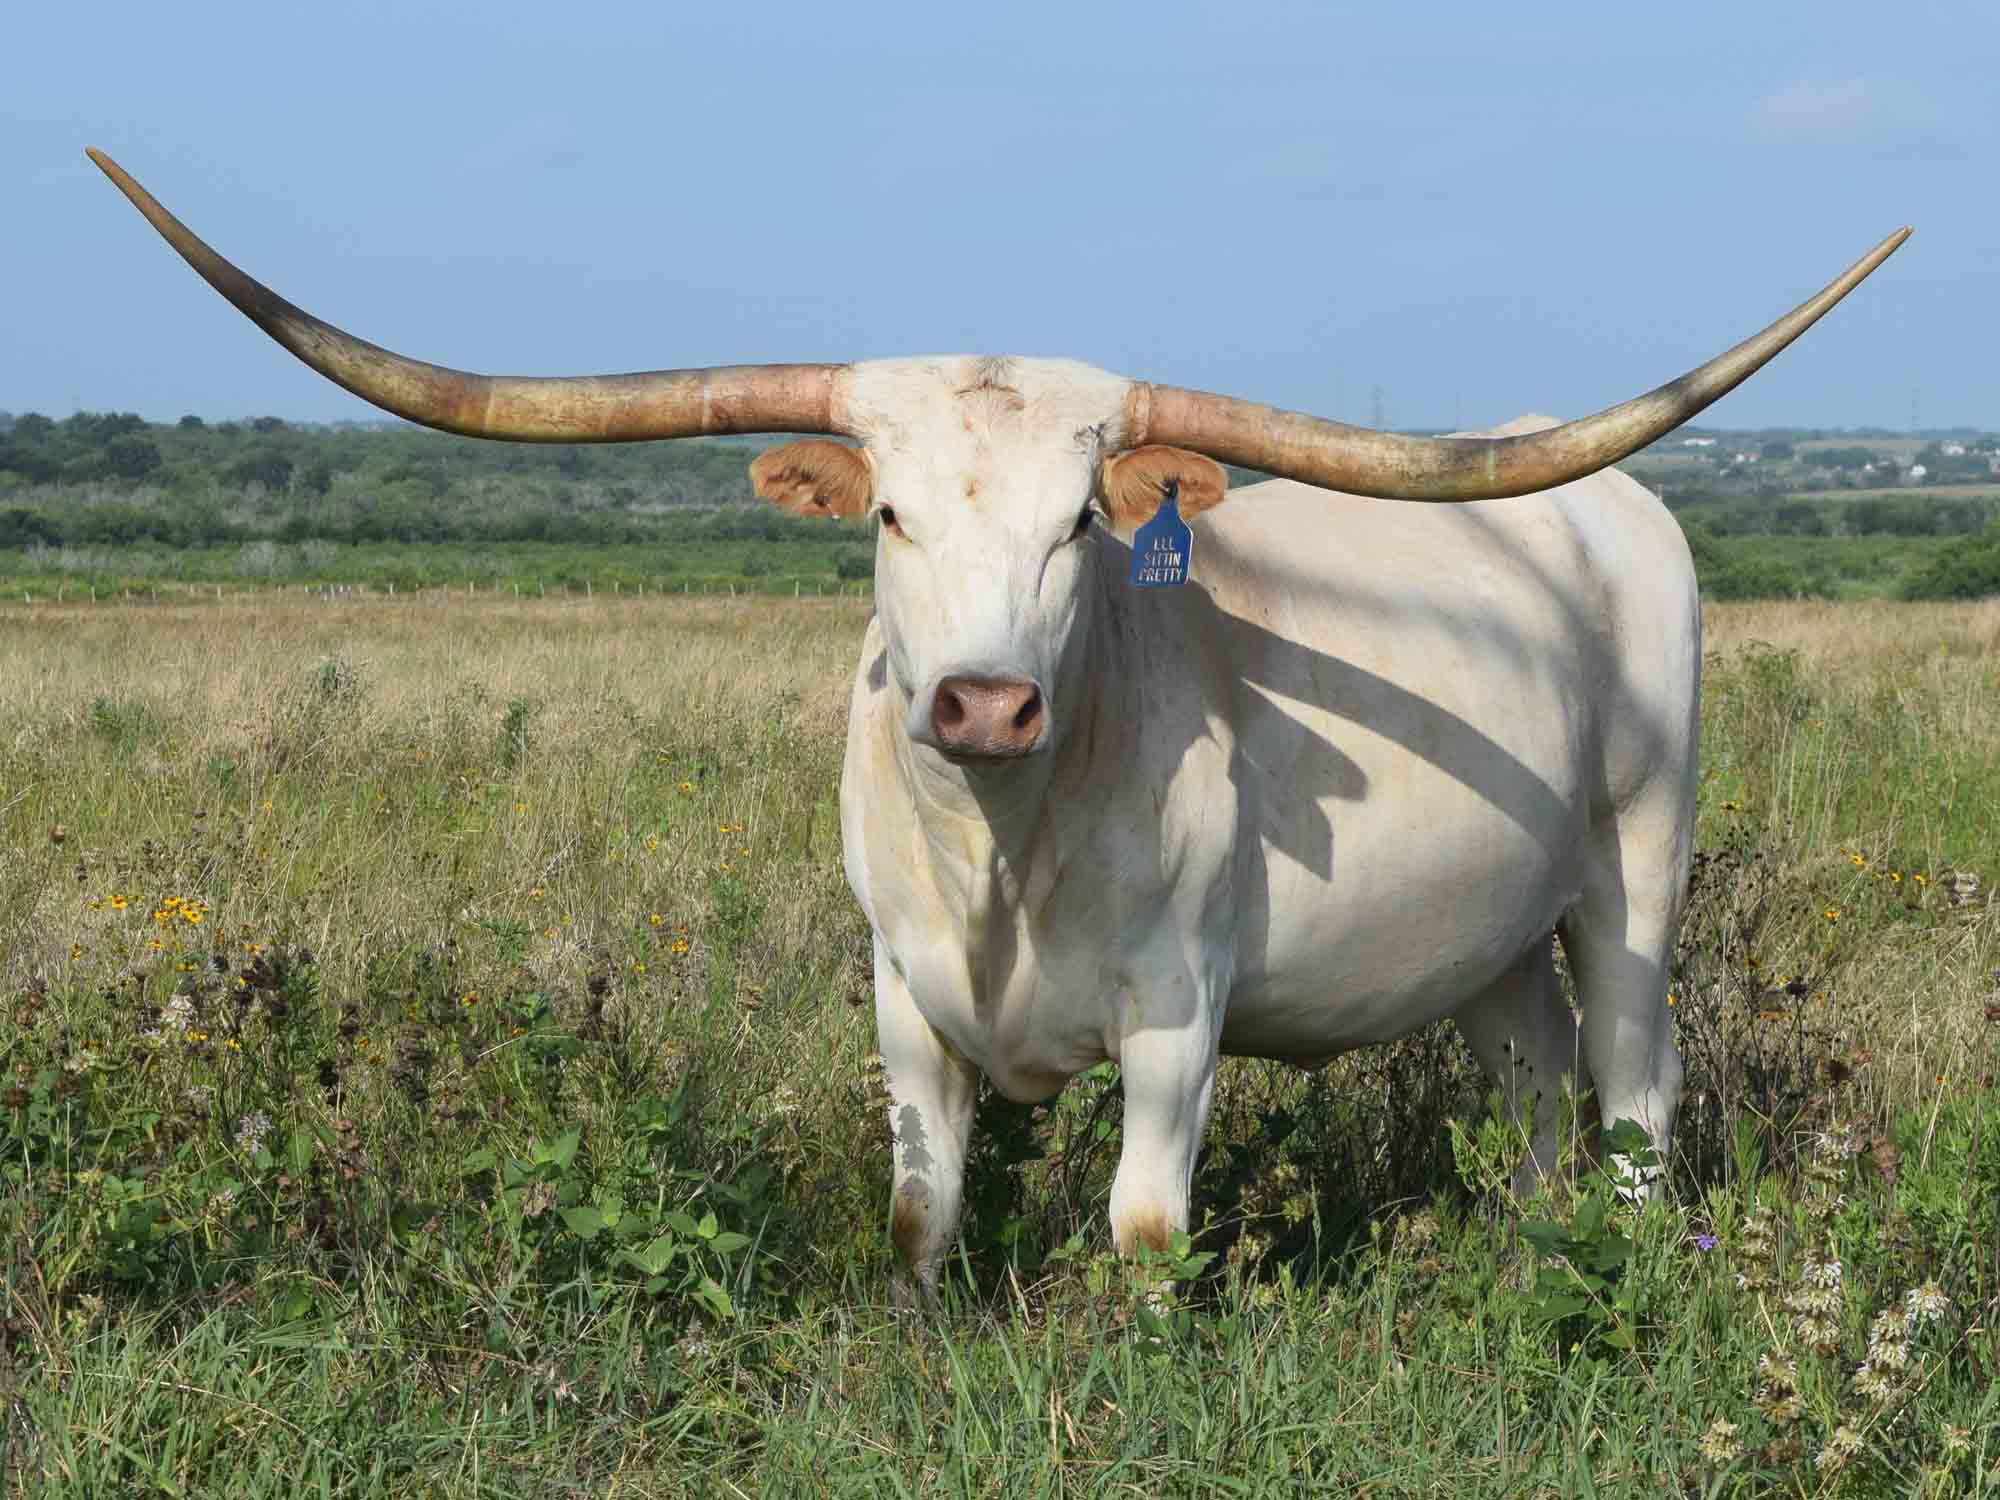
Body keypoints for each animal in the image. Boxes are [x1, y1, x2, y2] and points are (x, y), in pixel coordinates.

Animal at [94, 153, 1904, 1296]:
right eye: (890, 514)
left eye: (1081, 524)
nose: (981, 697)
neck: (1003, 852)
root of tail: (1608, 505)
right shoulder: (901, 998)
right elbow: (920, 1214)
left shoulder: (1178, 1013)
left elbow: (1146, 1232)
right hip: (1484, 932)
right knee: (1529, 1091)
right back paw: (1531, 1259)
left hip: (1637, 873)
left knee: (1634, 1091)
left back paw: (1619, 1259)